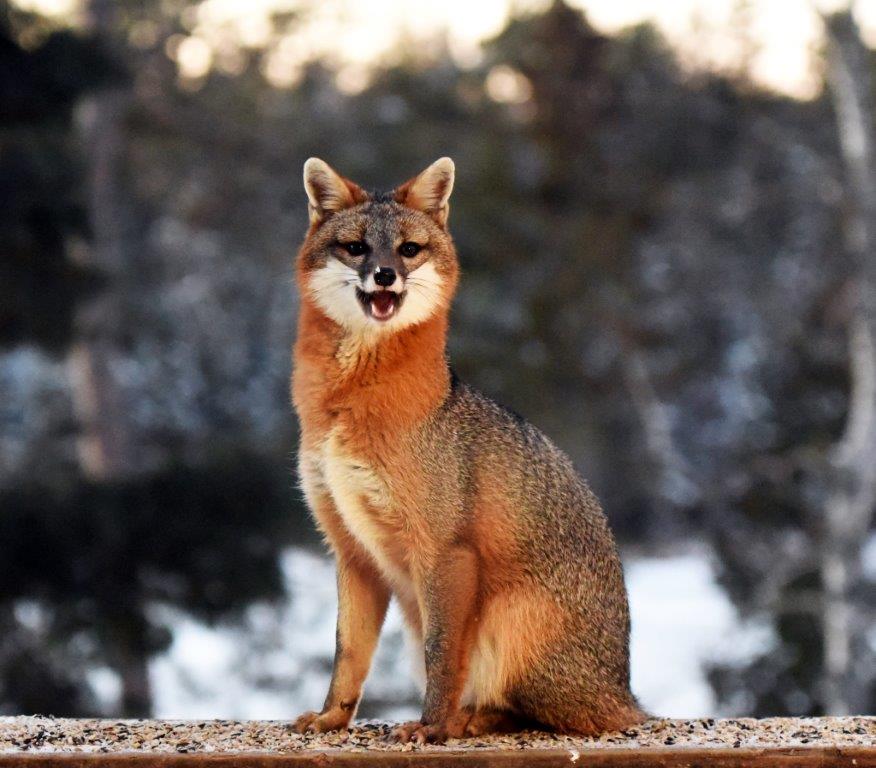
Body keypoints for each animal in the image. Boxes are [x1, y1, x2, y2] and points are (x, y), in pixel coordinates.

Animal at [290, 156, 646, 744]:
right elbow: (348, 655)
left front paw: (430, 725)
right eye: (357, 248)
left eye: (408, 249)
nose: (385, 275)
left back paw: (464, 720)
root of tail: (626, 696)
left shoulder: (443, 549)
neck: (351, 411)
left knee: (541, 715)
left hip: (510, 624)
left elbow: (442, 656)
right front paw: (331, 718)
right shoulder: (351, 550)